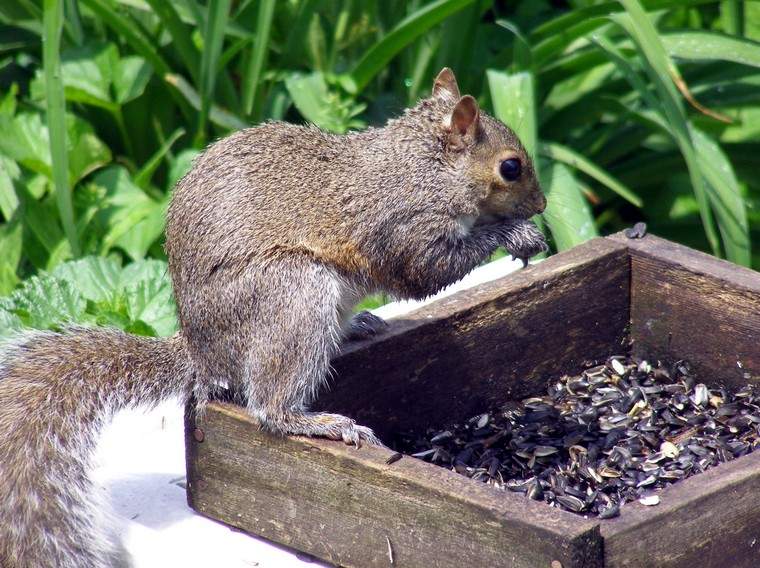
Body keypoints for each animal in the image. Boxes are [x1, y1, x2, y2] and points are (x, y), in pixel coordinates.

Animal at [0, 69, 548, 564]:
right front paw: (516, 235)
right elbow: (426, 271)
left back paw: (357, 326)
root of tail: (200, 352)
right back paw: (318, 422)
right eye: (511, 167)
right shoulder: (402, 227)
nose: (543, 204)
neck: (422, 165)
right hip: (293, 295)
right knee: (269, 406)